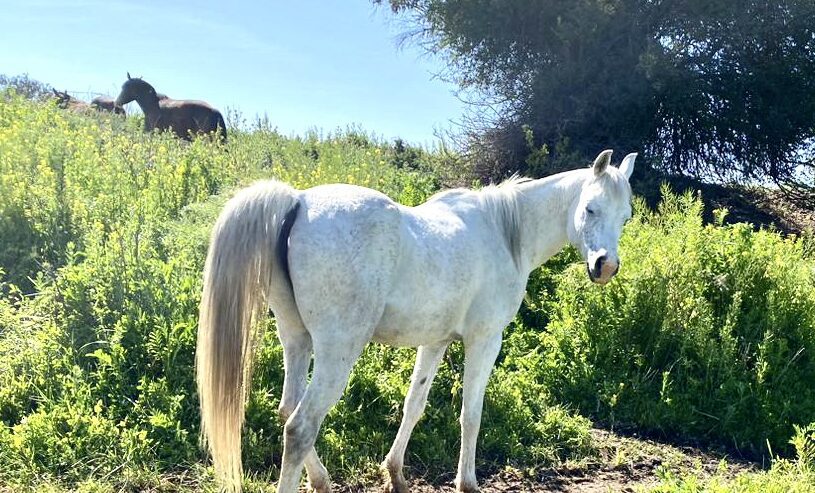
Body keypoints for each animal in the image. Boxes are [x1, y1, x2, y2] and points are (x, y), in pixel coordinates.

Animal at [198, 149, 636, 492]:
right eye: (591, 208)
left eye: (626, 217)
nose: (606, 266)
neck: (504, 233)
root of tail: (298, 201)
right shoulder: (484, 340)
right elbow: (471, 414)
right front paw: (467, 483)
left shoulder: (435, 341)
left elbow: (414, 405)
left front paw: (394, 474)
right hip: (338, 350)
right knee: (300, 426)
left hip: (297, 339)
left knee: (288, 409)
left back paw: (321, 480)